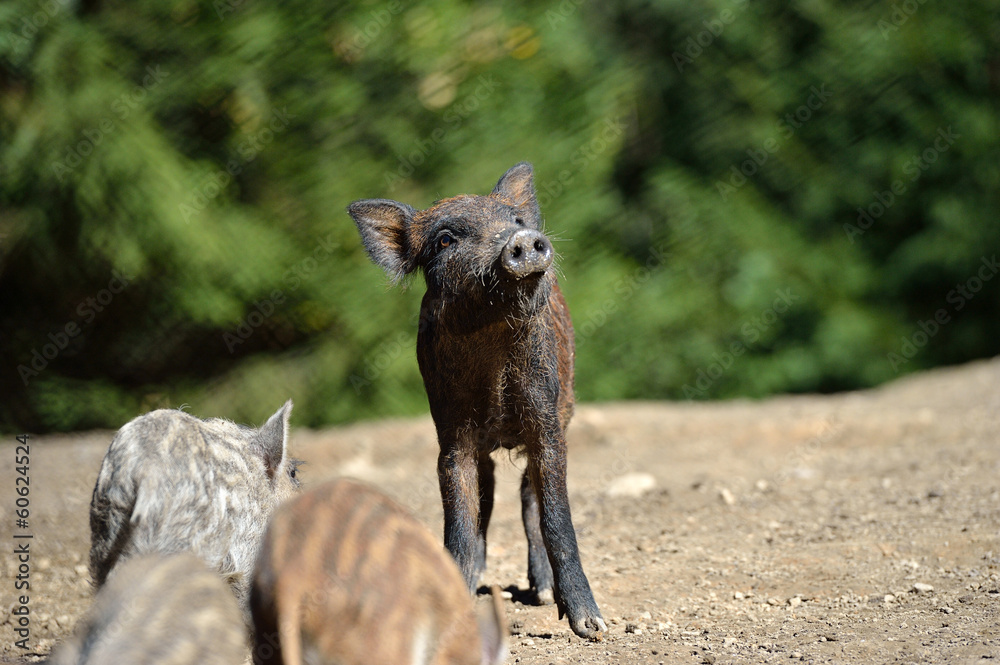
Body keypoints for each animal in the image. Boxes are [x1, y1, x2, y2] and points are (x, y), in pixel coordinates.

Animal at [347, 163, 607, 638]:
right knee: (487, 495)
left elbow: (556, 516)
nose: (520, 239)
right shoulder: (451, 436)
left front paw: (591, 627)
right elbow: (461, 520)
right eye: (446, 240)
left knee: (527, 498)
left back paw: (542, 593)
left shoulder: (546, 423)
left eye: (516, 221)